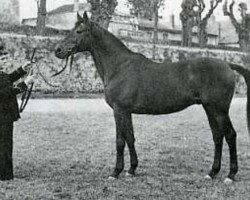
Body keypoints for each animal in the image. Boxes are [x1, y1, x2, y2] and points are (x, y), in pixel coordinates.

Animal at [54, 12, 250, 184]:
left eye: (79, 31)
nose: (58, 50)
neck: (119, 66)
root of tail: (227, 64)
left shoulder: (119, 110)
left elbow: (120, 141)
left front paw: (115, 172)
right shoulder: (127, 112)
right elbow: (130, 138)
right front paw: (132, 170)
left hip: (219, 110)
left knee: (230, 135)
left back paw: (230, 175)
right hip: (210, 109)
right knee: (217, 136)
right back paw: (212, 172)